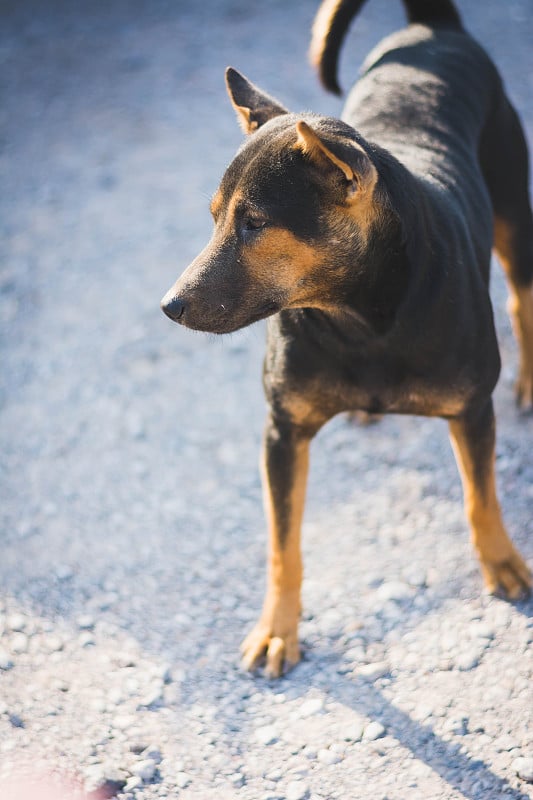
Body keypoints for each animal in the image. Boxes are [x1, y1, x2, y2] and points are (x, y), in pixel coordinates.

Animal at [161, 0, 532, 676]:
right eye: (215, 218)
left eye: (254, 223)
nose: (169, 306)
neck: (357, 319)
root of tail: (431, 28)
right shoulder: (282, 431)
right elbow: (283, 545)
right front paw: (278, 630)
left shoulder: (472, 410)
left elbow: (480, 496)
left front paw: (501, 562)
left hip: (515, 207)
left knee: (522, 294)